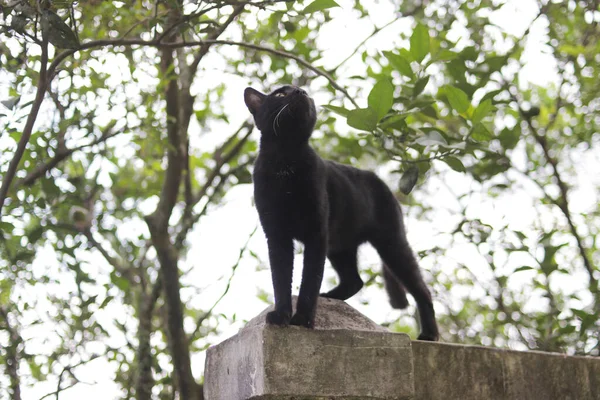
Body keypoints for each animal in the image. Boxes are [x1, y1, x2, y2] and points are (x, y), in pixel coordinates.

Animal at [245, 85, 440, 340]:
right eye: (279, 94)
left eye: (303, 91)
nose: (300, 92)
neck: (285, 159)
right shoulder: (277, 236)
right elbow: (281, 279)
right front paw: (282, 316)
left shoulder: (316, 233)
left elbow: (310, 279)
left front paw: (303, 320)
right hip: (340, 247)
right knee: (354, 280)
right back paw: (330, 296)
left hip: (391, 243)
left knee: (421, 289)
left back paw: (430, 334)